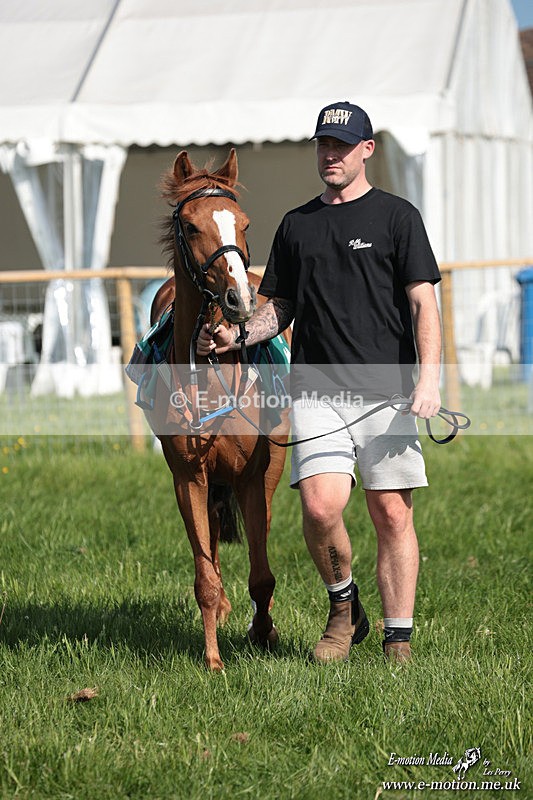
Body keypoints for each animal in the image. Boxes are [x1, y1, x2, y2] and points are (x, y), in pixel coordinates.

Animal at [146, 149, 289, 671]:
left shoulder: (257, 475)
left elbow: (262, 573)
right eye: (190, 226)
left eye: (243, 223)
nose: (239, 298)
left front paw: (264, 633)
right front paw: (212, 658)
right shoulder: (188, 476)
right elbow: (204, 574)